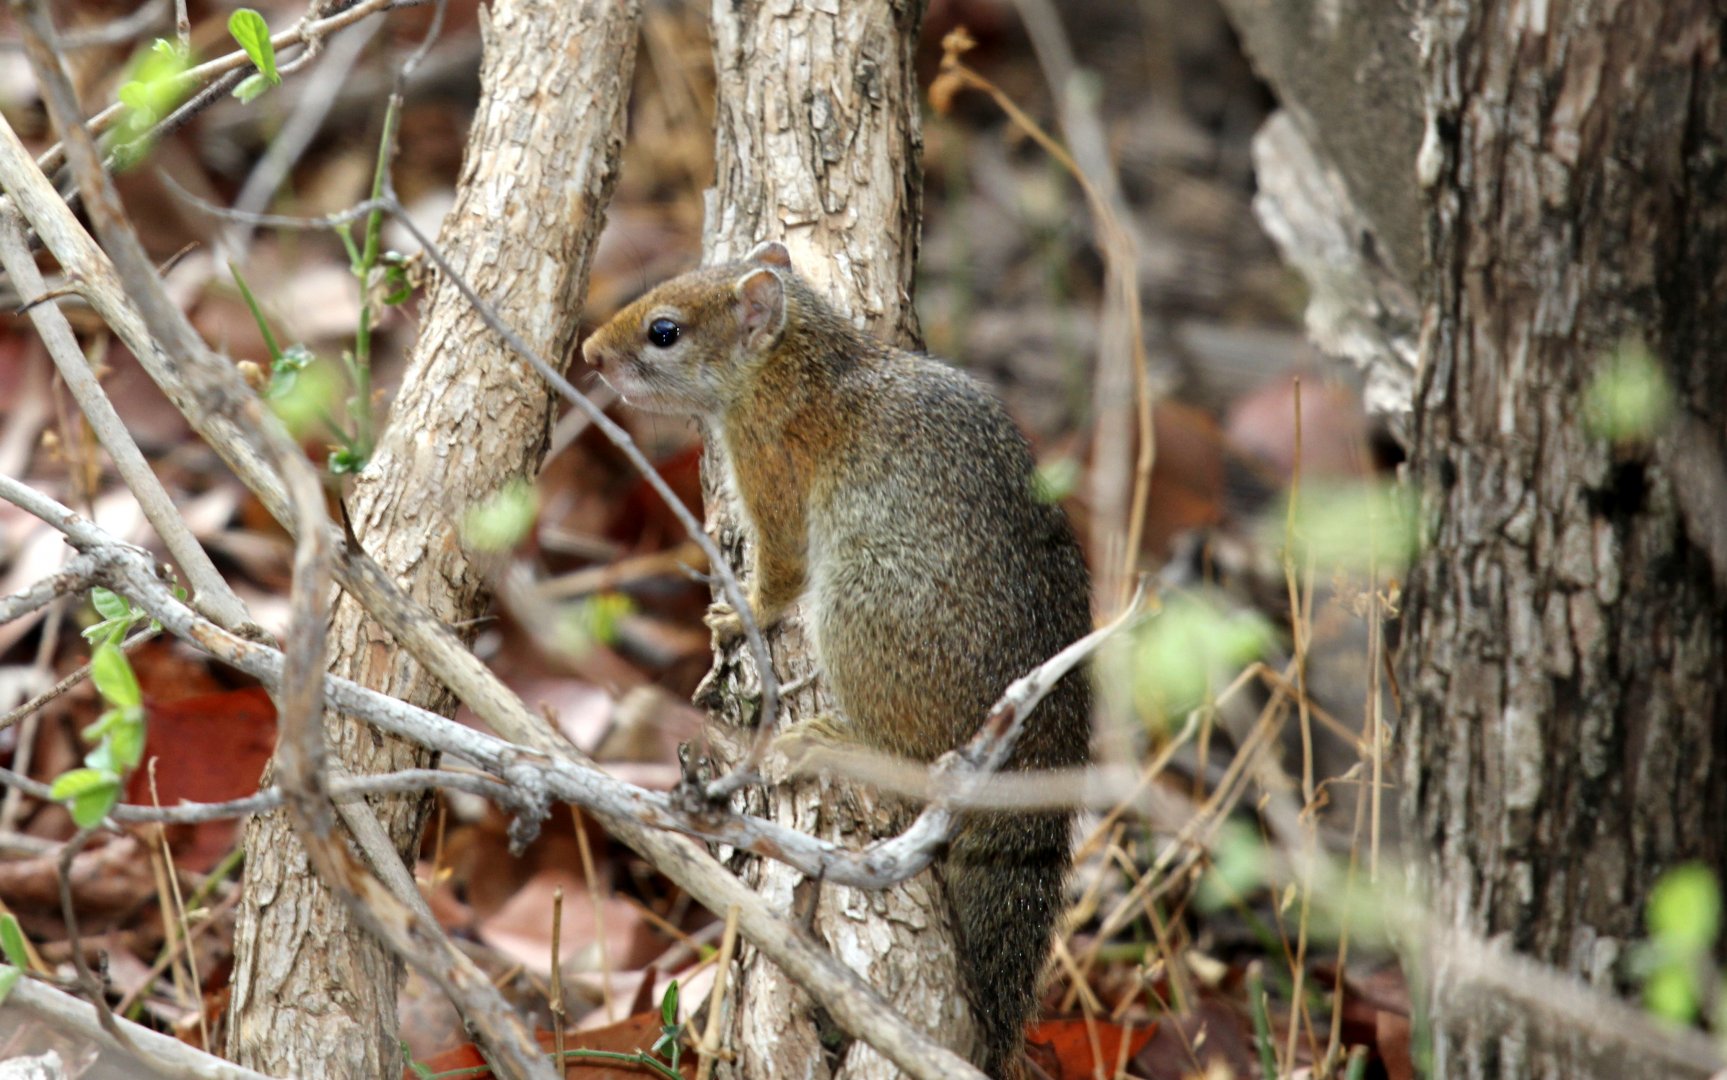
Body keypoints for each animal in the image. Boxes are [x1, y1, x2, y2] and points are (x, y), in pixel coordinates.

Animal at [582, 241, 1093, 1079]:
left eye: (664, 332)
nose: (591, 354)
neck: (803, 364)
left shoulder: (770, 465)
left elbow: (782, 570)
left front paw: (743, 610)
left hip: (862, 604)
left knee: (916, 759)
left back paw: (833, 739)